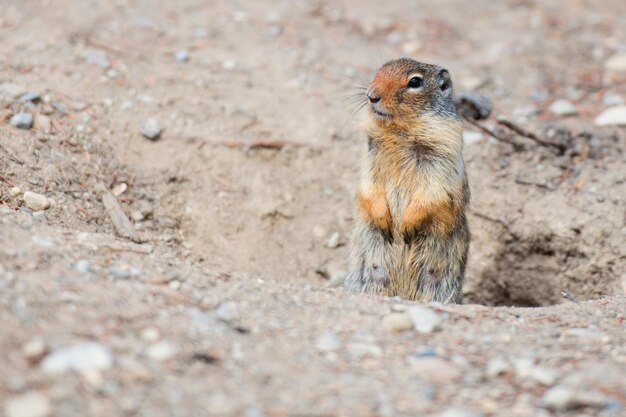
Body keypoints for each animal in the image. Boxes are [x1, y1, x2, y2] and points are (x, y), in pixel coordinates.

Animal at [344, 57, 470, 302]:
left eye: (415, 82)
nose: (371, 95)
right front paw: (384, 219)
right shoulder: (370, 152)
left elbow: (433, 192)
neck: (399, 131)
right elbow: (368, 186)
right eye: (379, 70)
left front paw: (407, 225)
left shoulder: (441, 156)